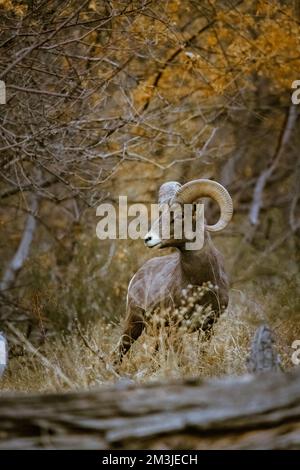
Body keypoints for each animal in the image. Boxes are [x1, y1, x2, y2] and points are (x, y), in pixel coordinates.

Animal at [116, 179, 232, 360]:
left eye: (179, 216)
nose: (148, 239)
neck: (200, 283)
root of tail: (136, 277)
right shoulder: (176, 328)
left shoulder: (208, 326)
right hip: (134, 323)